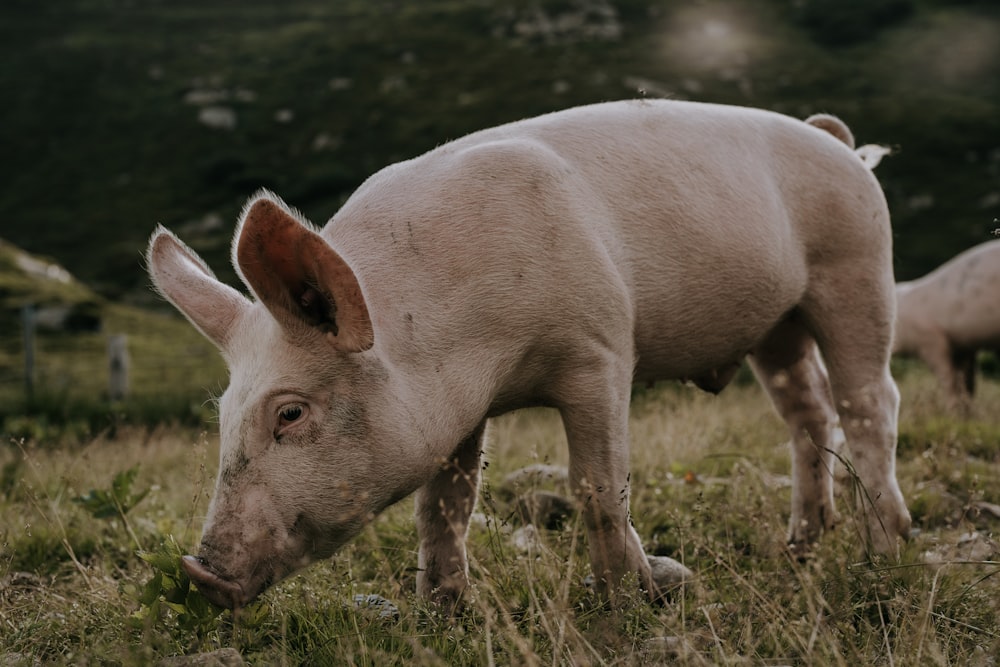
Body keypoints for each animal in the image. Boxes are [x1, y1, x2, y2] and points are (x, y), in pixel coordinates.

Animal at [145, 99, 912, 612]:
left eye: (291, 413)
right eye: (221, 414)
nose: (201, 572)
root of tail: (833, 139)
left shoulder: (601, 349)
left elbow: (597, 484)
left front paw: (630, 597)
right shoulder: (454, 411)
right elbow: (445, 505)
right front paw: (444, 611)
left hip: (855, 266)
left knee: (870, 401)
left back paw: (884, 548)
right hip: (776, 324)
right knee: (807, 411)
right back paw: (800, 544)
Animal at [896, 237, 1000, 410]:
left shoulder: (931, 339)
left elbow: (948, 380)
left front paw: (952, 411)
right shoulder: (963, 346)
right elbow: (967, 383)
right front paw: (966, 413)